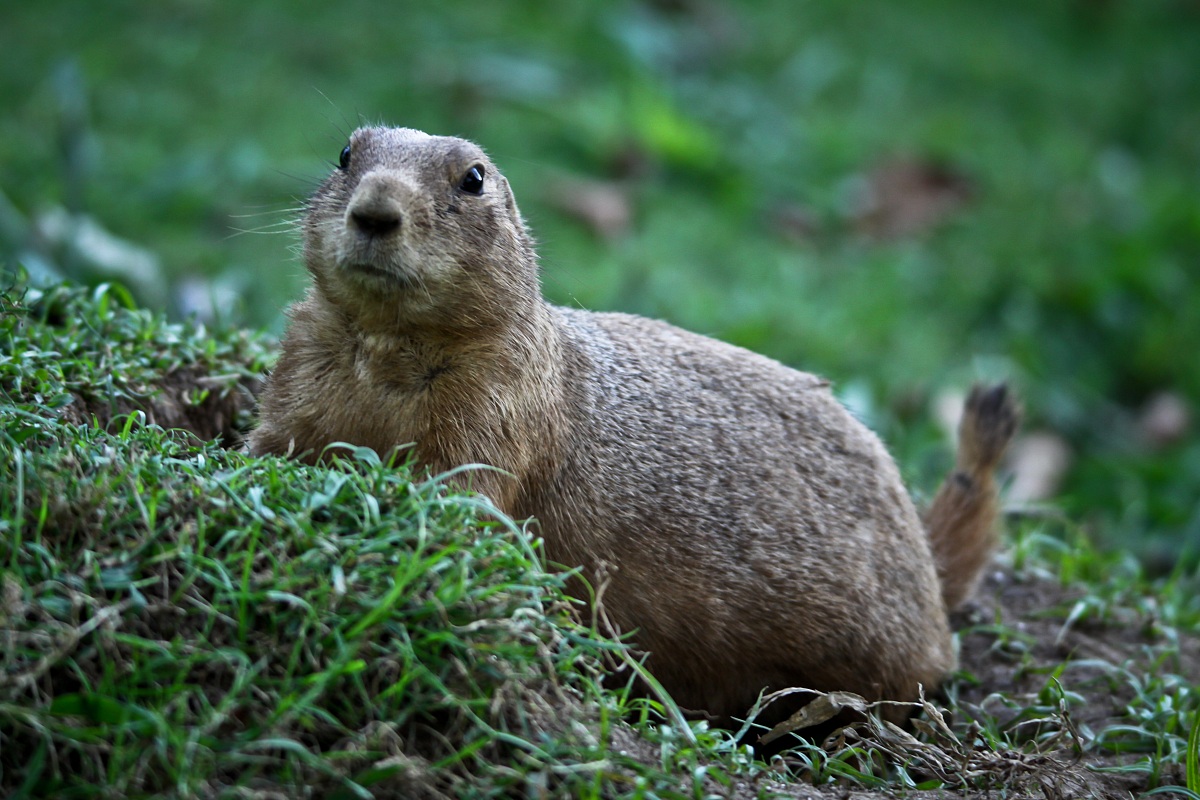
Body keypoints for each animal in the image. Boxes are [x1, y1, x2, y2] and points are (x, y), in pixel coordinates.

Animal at [250, 126, 1020, 723]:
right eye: (345, 153)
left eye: (473, 178)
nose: (374, 211)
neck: (388, 346)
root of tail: (930, 574)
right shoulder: (302, 370)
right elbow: (276, 440)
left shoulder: (498, 405)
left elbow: (460, 487)